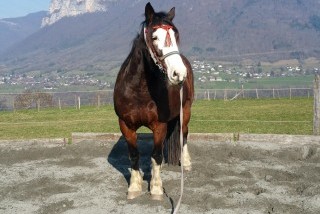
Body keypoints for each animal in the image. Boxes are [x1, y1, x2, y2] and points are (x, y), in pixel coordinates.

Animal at [114, 2, 194, 201]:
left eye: (176, 36)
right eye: (154, 37)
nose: (179, 73)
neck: (139, 90)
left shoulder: (159, 125)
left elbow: (155, 155)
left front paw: (156, 188)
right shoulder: (125, 125)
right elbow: (134, 155)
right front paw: (134, 187)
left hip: (186, 111)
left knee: (184, 135)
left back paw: (186, 162)